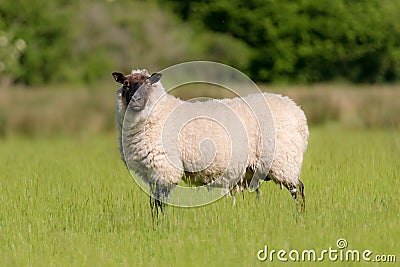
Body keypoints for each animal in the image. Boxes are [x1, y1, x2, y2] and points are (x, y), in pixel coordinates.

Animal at [112, 69, 310, 216]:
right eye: (126, 84)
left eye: (147, 85)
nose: (136, 100)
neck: (157, 113)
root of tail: (299, 114)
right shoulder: (152, 172)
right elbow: (154, 203)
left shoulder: (165, 168)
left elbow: (161, 203)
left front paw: (162, 225)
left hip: (283, 160)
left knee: (298, 188)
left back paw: (300, 216)